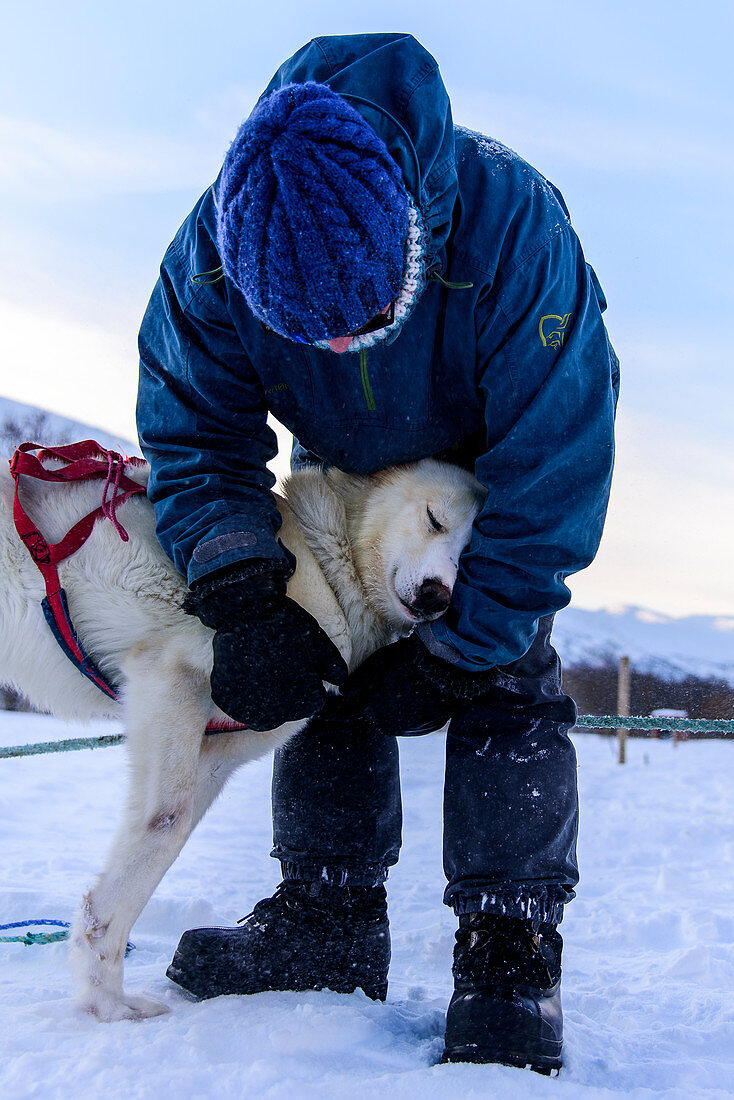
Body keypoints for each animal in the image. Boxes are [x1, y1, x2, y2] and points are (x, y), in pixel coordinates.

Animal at [0, 451, 481, 1016]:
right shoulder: (172, 682)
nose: (436, 596)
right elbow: (165, 825)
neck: (324, 568)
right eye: (434, 520)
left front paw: (102, 992)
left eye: (473, 556)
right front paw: (110, 1005)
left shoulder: (219, 750)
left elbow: (142, 858)